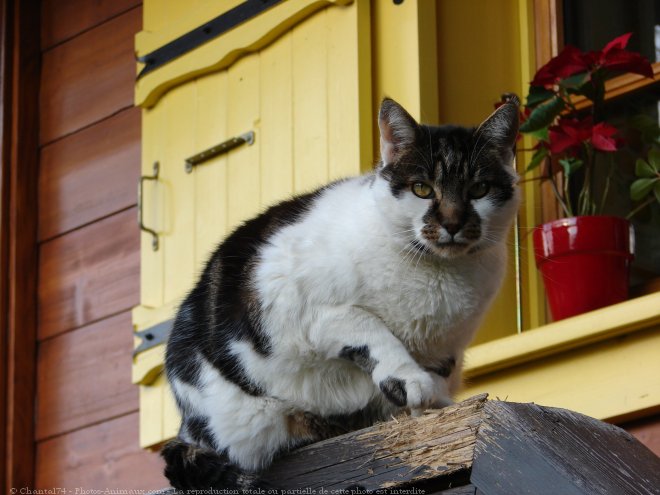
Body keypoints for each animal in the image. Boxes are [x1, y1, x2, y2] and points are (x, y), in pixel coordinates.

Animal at [161, 95, 520, 490]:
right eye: (422, 189)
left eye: (479, 190)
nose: (453, 223)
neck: (438, 274)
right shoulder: (299, 306)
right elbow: (369, 329)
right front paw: (408, 379)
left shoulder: (447, 348)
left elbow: (435, 379)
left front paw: (428, 410)